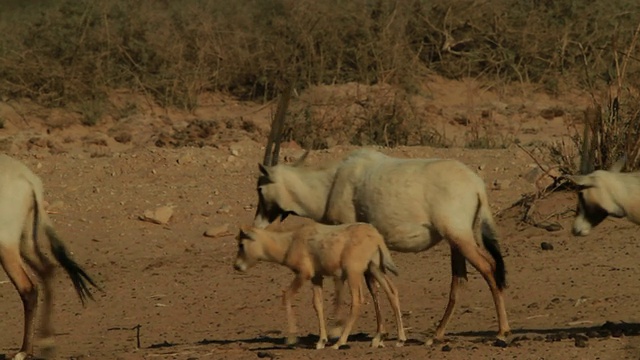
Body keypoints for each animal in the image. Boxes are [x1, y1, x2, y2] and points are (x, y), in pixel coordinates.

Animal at [0, 153, 97, 358]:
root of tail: (27, 178)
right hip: (25, 242)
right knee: (48, 270)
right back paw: (46, 342)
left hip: (6, 247)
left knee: (29, 288)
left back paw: (24, 352)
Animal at [234, 222, 404, 348]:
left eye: (241, 244)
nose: (236, 266)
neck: (290, 241)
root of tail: (376, 237)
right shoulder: (316, 277)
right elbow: (317, 304)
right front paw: (321, 341)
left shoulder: (304, 274)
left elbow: (286, 296)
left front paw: (291, 338)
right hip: (374, 269)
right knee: (392, 291)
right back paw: (396, 339)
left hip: (354, 274)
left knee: (357, 301)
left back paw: (340, 342)